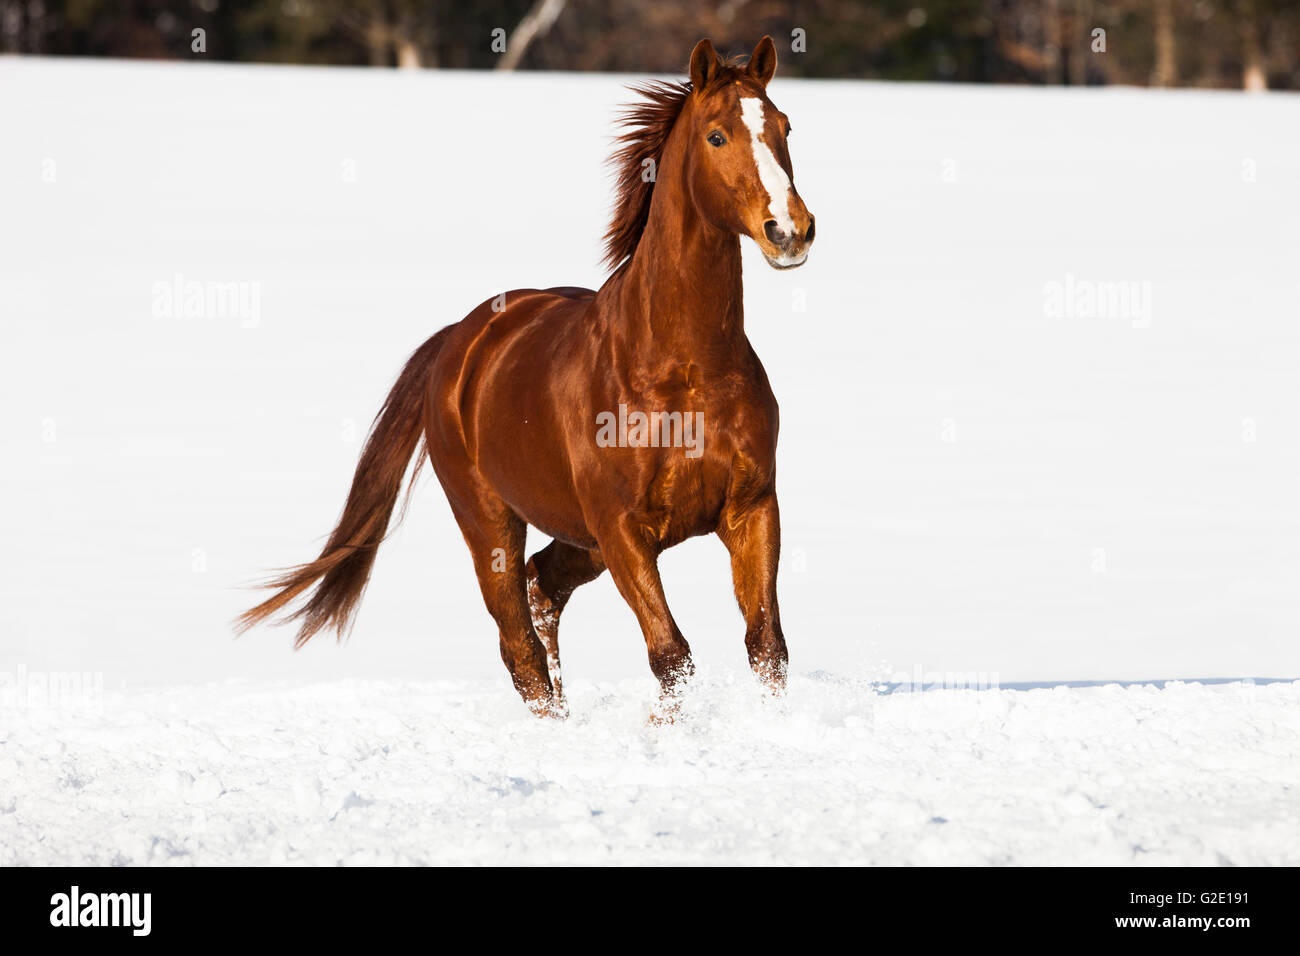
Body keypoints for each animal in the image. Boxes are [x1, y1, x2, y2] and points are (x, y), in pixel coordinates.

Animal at [237, 36, 816, 718]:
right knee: (520, 645)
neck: (683, 371)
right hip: (491, 524)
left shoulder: (751, 508)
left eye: (784, 127)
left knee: (544, 592)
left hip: (579, 539)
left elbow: (766, 646)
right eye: (717, 136)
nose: (790, 230)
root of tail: (457, 344)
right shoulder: (623, 530)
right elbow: (671, 655)